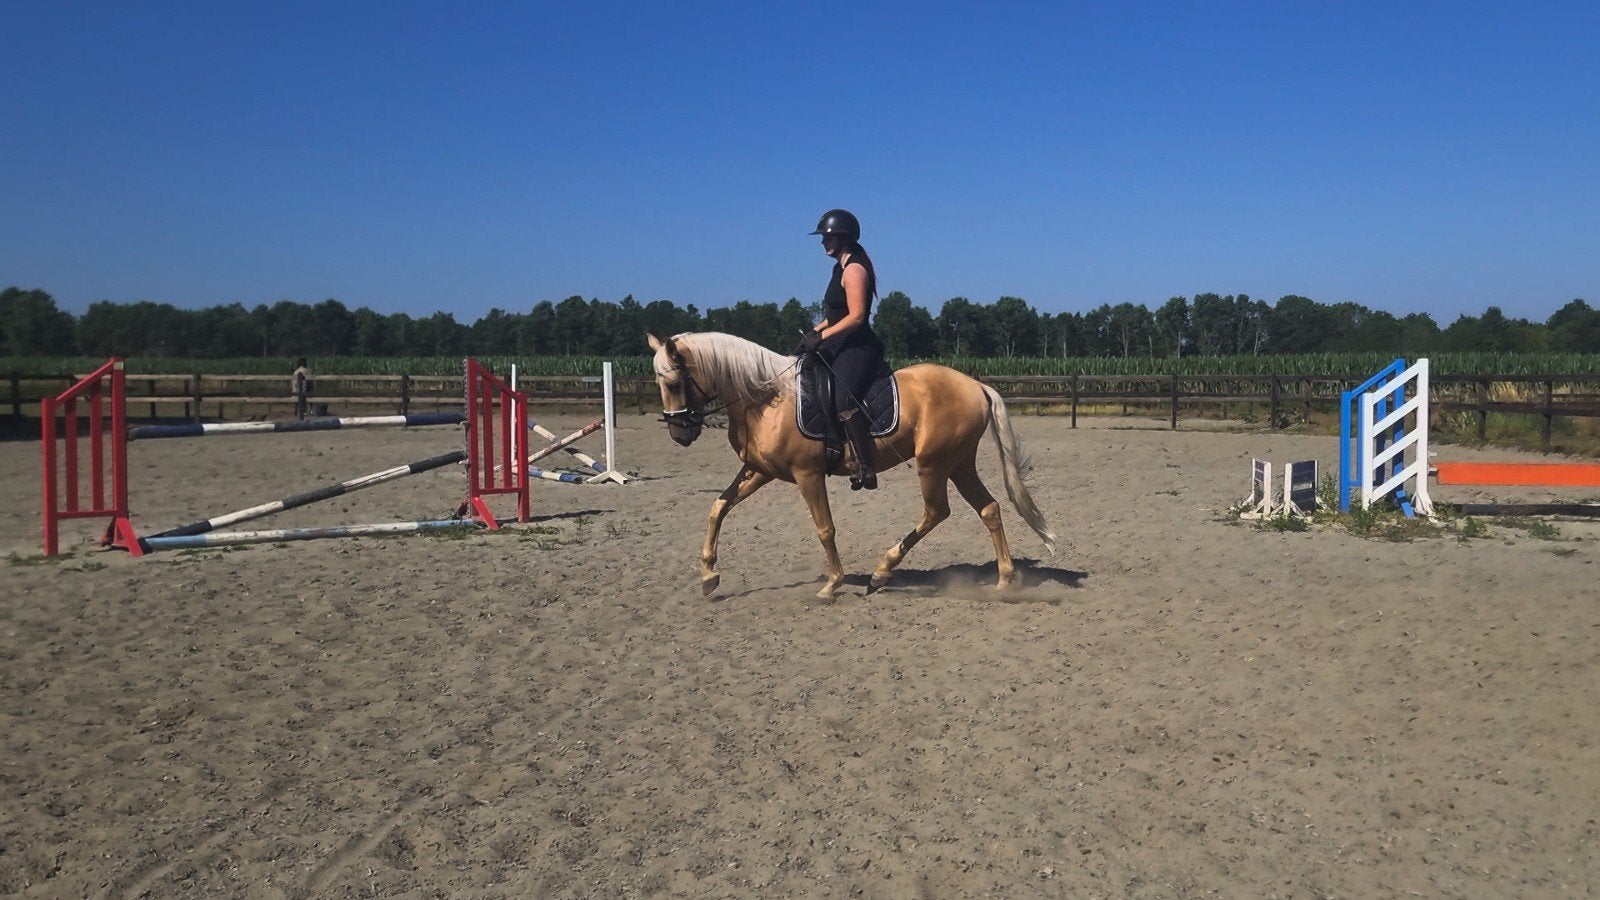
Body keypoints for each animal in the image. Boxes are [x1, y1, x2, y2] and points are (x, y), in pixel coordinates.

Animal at [647, 332, 1056, 599]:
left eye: (675, 382)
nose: (680, 434)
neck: (766, 398)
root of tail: (976, 385)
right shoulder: (760, 471)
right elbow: (718, 507)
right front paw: (708, 575)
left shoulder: (807, 474)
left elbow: (824, 528)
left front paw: (832, 583)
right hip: (958, 464)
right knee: (989, 509)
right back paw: (1004, 579)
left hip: (933, 464)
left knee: (936, 512)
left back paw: (882, 572)